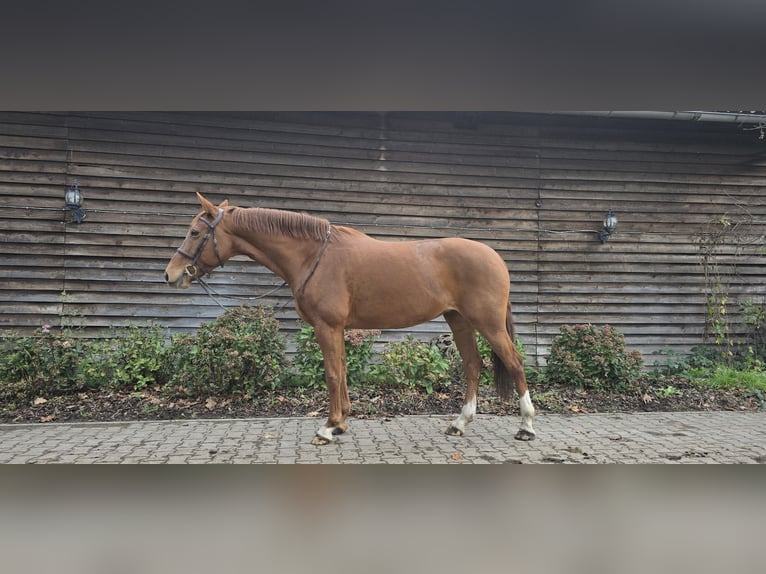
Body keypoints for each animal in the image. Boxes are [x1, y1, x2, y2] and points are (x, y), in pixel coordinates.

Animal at [164, 193, 536, 445]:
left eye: (195, 232)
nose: (171, 275)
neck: (313, 256)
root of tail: (495, 258)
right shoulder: (338, 328)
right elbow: (341, 372)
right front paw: (341, 423)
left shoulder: (327, 326)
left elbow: (331, 375)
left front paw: (327, 428)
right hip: (459, 320)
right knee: (473, 365)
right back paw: (460, 423)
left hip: (487, 323)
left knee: (515, 362)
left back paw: (526, 426)